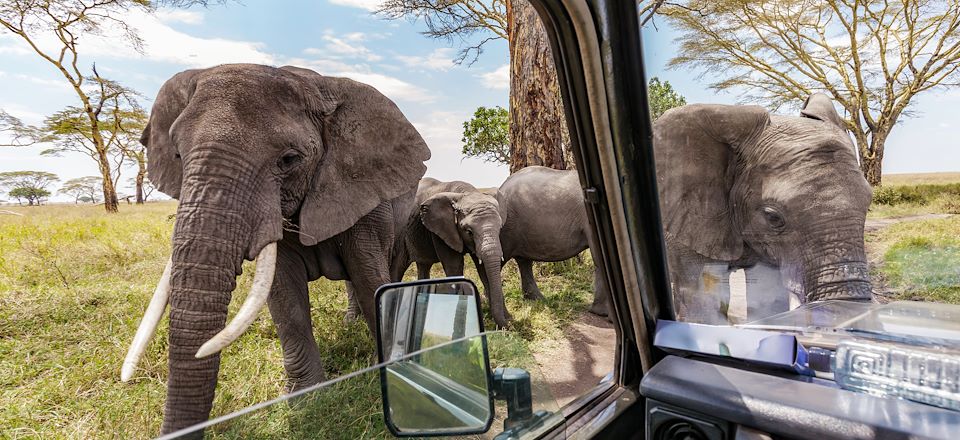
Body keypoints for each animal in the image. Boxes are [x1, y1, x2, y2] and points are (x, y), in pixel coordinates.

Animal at [122, 63, 430, 434]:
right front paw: (307, 398)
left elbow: (370, 277)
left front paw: (384, 372)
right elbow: (284, 296)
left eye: (289, 159)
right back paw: (349, 324)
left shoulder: (366, 193)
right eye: (178, 155)